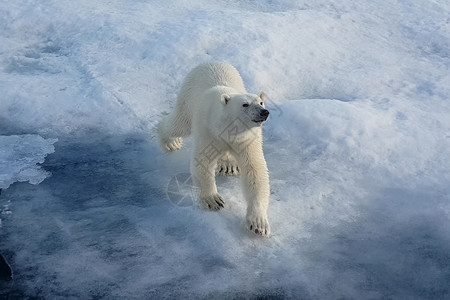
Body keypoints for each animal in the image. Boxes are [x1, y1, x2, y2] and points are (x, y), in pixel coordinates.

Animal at [158, 62, 270, 237]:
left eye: (261, 103)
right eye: (245, 104)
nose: (264, 112)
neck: (227, 129)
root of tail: (209, 62)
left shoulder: (246, 139)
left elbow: (255, 170)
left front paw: (258, 223)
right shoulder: (208, 130)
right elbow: (202, 161)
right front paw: (213, 200)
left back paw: (229, 165)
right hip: (188, 97)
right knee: (179, 123)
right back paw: (170, 142)